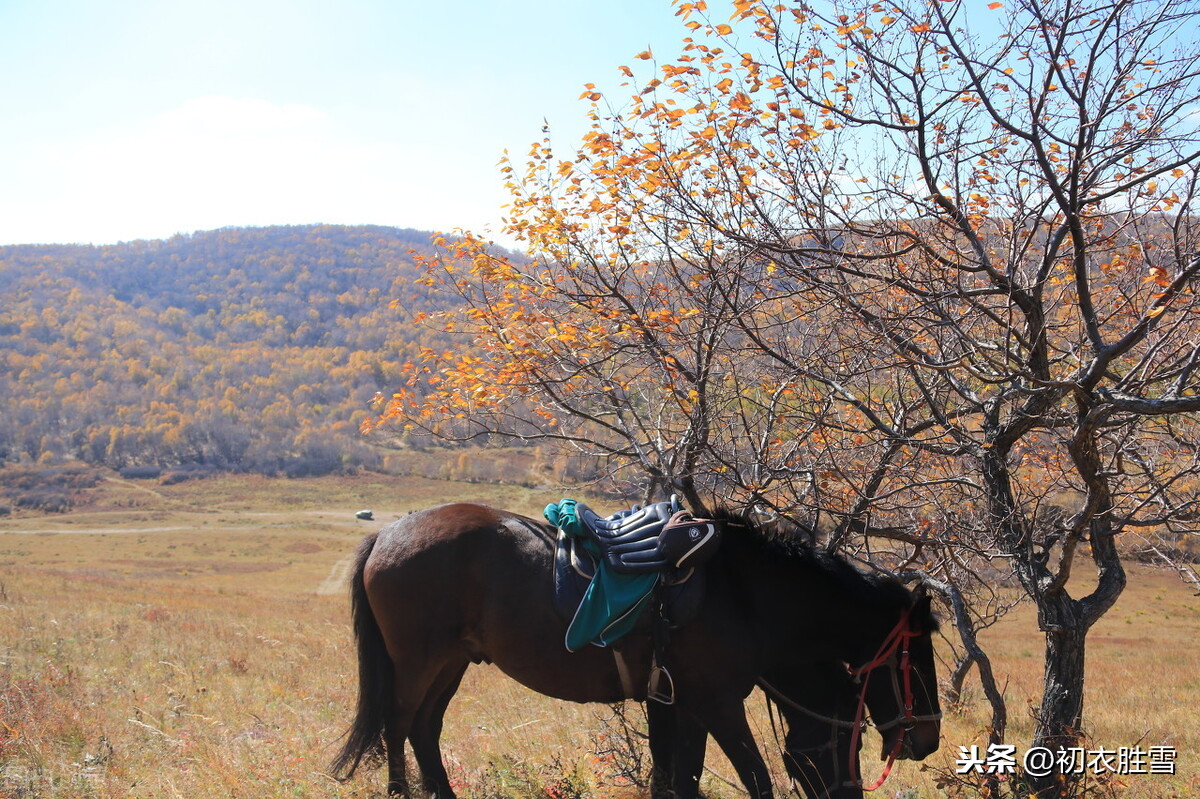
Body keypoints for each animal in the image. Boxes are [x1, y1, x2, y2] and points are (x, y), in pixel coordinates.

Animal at [326, 501, 936, 791]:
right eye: (916, 660)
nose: (926, 740)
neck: (745, 594)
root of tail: (386, 534)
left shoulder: (680, 705)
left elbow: (679, 781)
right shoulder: (716, 704)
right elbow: (755, 779)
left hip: (450, 663)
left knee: (424, 730)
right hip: (417, 663)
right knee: (398, 727)